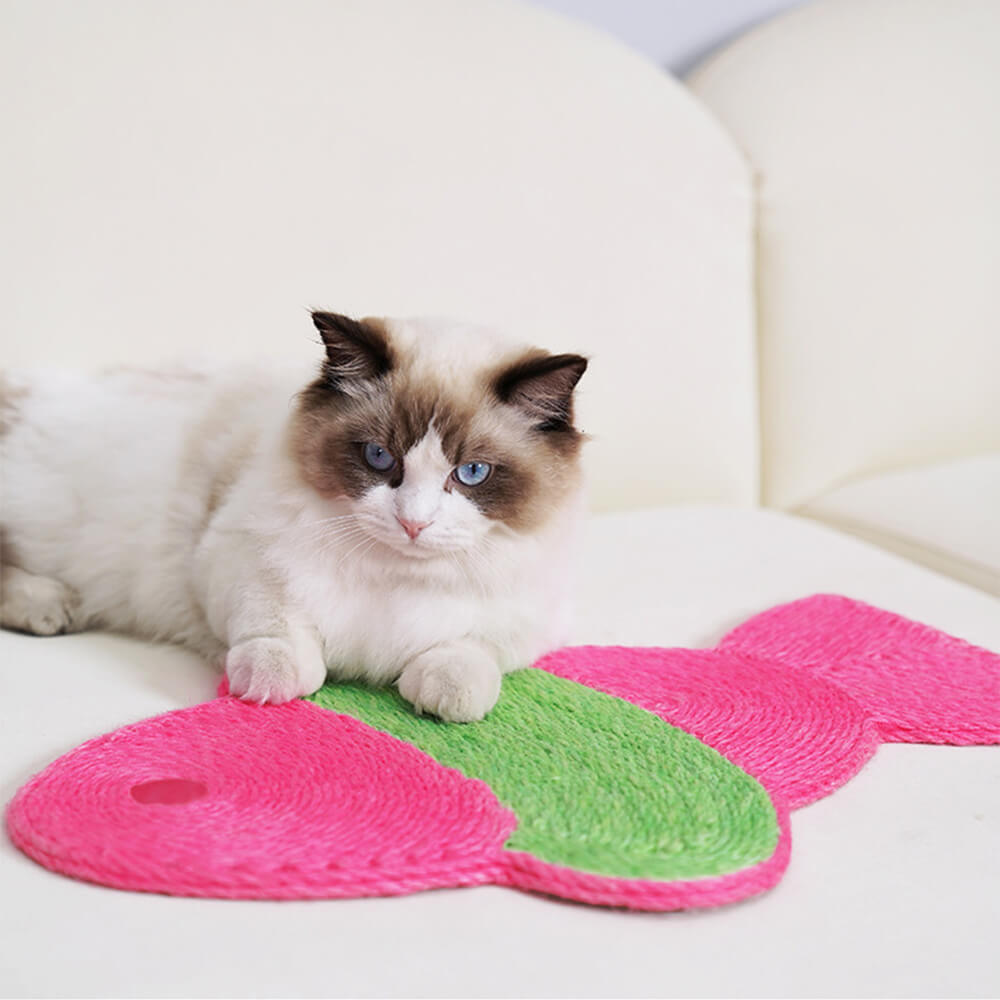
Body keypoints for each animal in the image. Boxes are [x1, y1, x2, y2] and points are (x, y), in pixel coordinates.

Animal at [0, 310, 588, 720]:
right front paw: (268, 683)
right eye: (379, 457)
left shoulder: (523, 617)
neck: (394, 578)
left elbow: (467, 658)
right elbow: (281, 636)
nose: (413, 523)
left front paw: (444, 695)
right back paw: (51, 608)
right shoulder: (237, 562)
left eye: (472, 473)